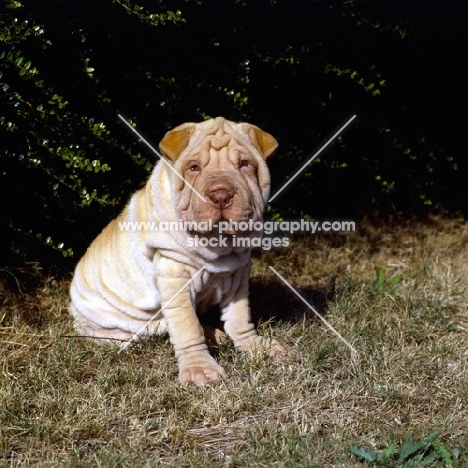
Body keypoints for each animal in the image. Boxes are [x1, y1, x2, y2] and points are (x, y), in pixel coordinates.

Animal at [69, 117, 286, 384]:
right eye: (193, 167)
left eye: (244, 164)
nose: (221, 195)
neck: (218, 246)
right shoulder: (174, 276)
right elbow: (186, 325)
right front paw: (200, 369)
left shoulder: (239, 273)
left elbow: (239, 316)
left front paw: (255, 346)